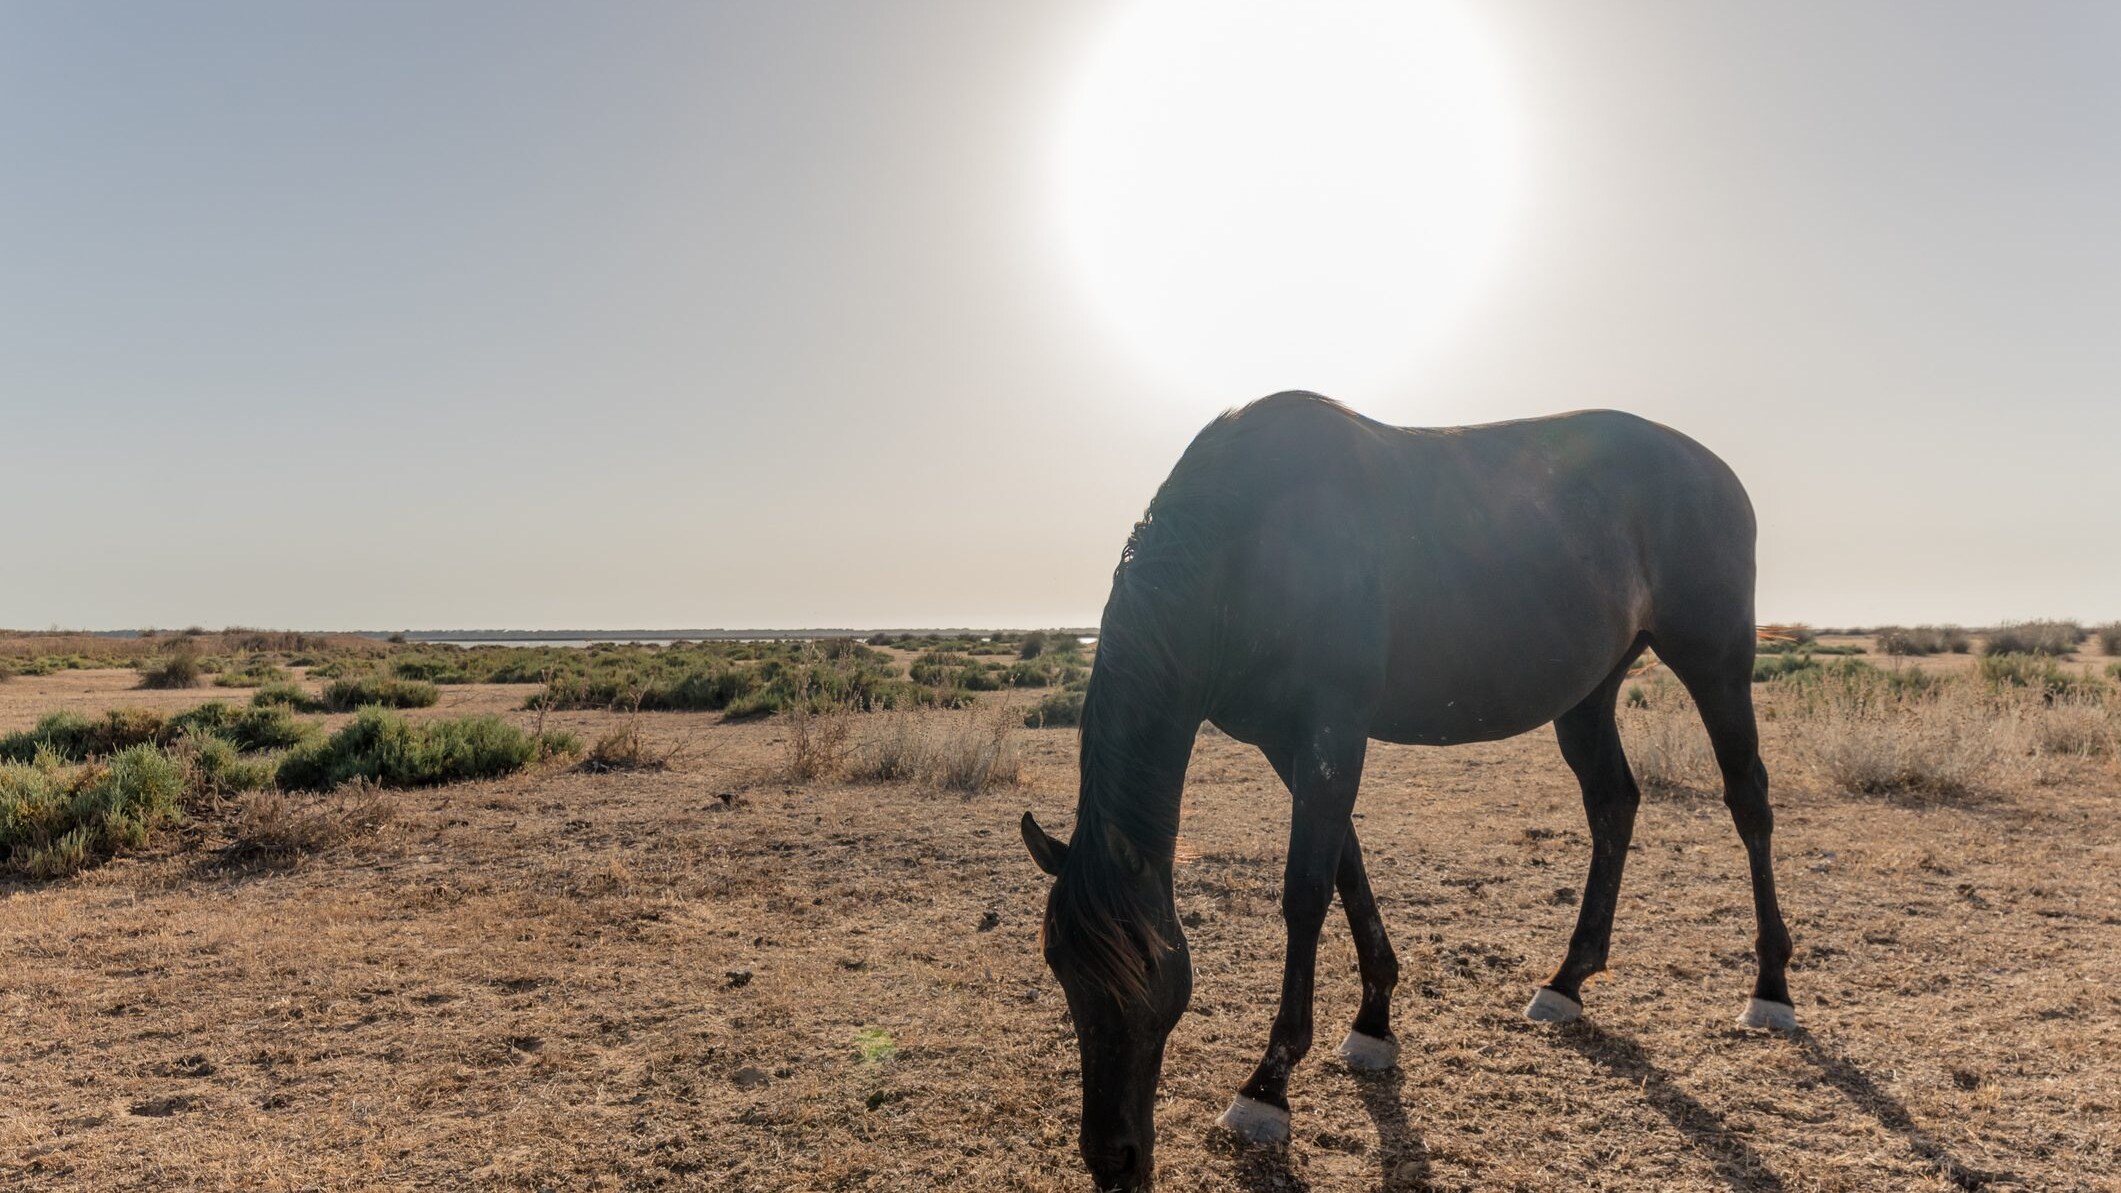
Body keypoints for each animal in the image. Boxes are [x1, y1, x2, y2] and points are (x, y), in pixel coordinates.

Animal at [1019, 393, 1793, 1192]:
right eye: (1057, 964)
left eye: (1147, 966)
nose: (1113, 1161)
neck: (1247, 543)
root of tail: (1714, 470)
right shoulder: (1287, 742)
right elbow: (1347, 869)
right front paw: (1373, 1020)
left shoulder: (1334, 728)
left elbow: (1305, 892)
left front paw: (1267, 1085)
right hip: (1590, 693)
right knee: (1613, 805)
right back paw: (1568, 979)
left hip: (1715, 664)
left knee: (1748, 802)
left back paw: (1770, 986)